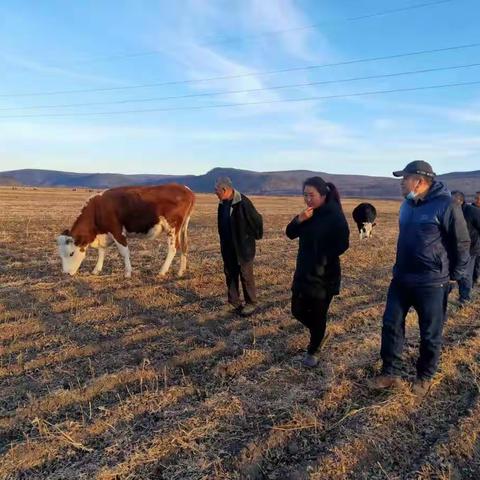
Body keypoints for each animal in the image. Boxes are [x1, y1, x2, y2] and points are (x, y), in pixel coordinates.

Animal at [57, 184, 195, 278]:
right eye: (60, 255)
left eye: (71, 253)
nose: (66, 273)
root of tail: (187, 189)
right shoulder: (104, 234)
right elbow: (101, 251)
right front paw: (96, 269)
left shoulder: (117, 231)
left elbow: (124, 252)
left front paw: (128, 272)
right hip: (183, 227)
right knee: (184, 246)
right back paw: (181, 271)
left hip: (172, 228)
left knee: (173, 248)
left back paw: (162, 271)